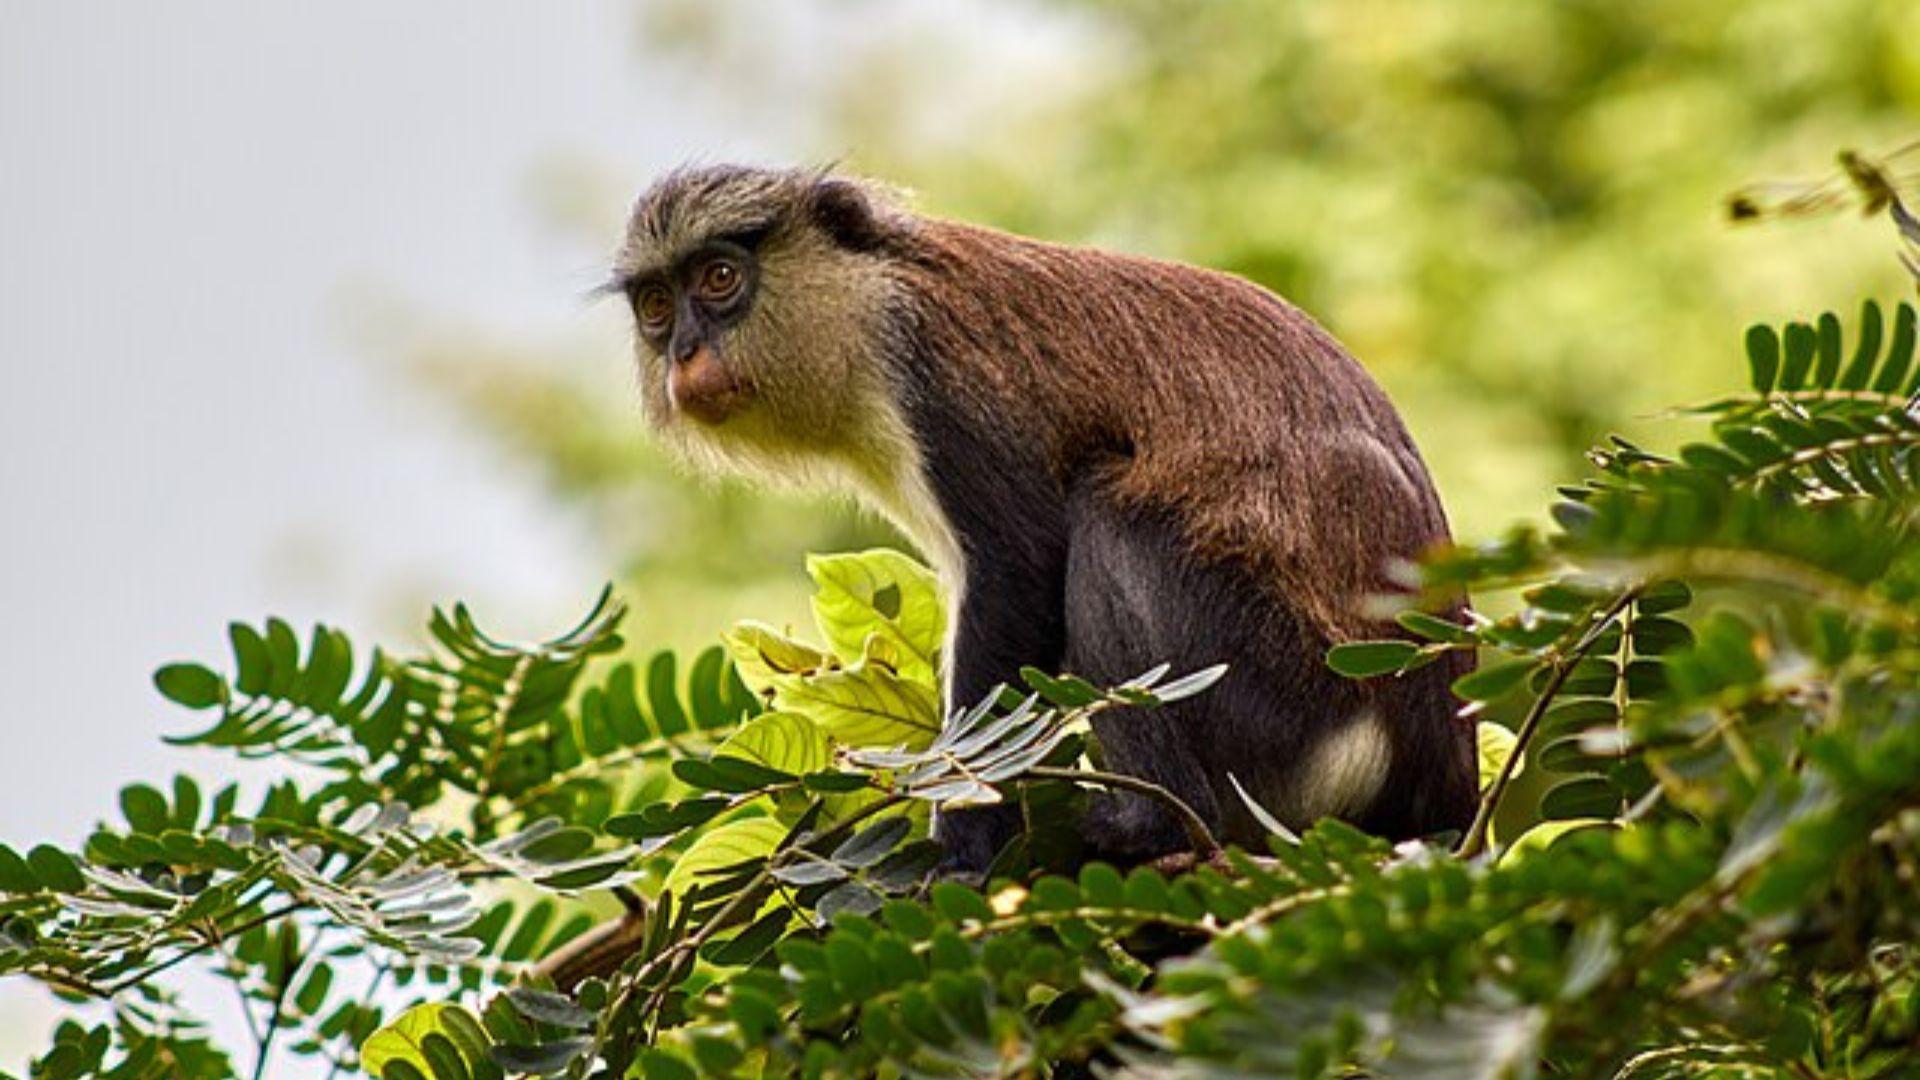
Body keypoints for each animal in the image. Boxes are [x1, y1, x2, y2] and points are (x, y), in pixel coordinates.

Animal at [608, 164, 1477, 873]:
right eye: (656, 305)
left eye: (720, 277)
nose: (684, 353)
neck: (871, 307)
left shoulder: (942, 383)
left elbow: (1017, 570)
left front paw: (958, 851)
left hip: (1285, 701)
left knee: (1109, 521)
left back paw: (1149, 827)